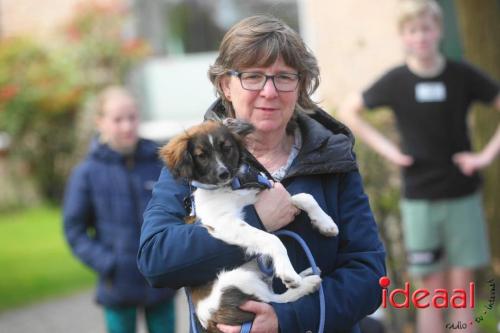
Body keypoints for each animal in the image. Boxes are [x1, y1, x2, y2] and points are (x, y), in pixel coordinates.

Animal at [161, 118, 340, 330]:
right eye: (201, 156)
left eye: (227, 148)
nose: (223, 173)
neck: (230, 187)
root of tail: (210, 321)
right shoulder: (223, 222)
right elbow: (271, 239)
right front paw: (288, 271)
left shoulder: (261, 196)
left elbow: (303, 196)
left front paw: (325, 223)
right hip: (239, 280)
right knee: (273, 301)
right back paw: (306, 282)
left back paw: (307, 271)